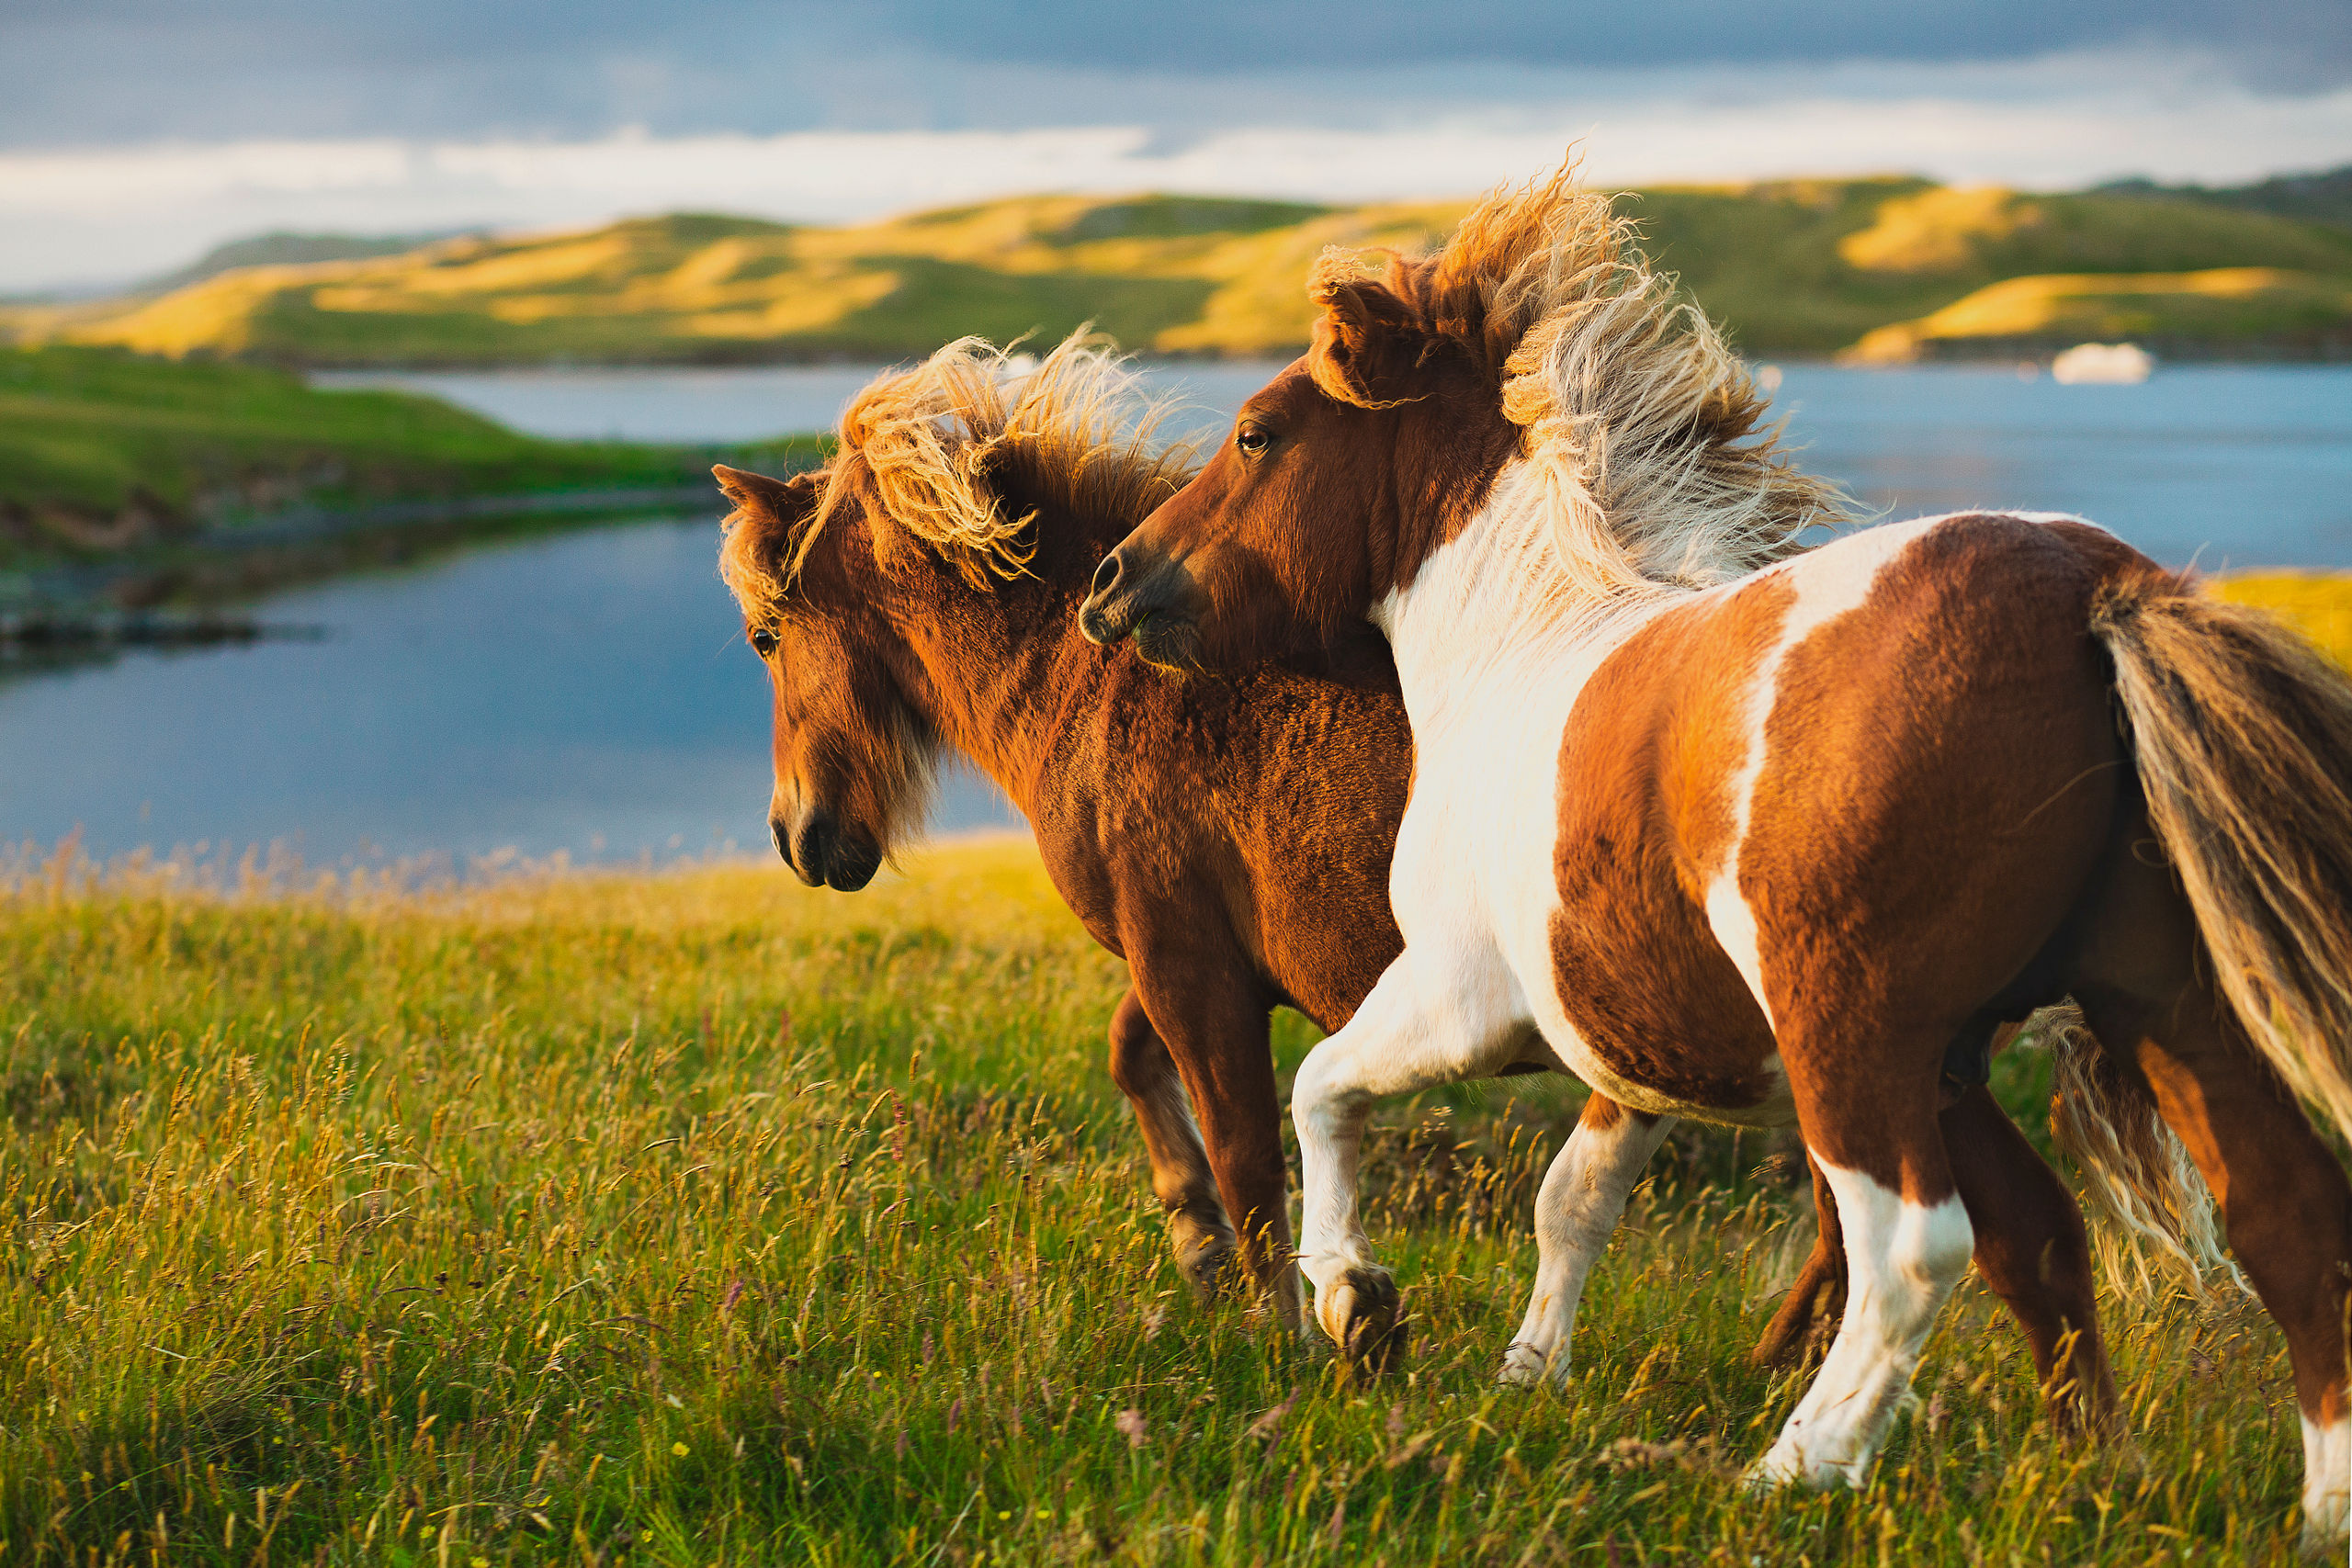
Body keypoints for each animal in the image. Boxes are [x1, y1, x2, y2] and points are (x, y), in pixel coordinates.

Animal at [1077, 169, 2352, 1541]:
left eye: (1257, 433)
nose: (1111, 584)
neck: (1518, 656)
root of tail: (2091, 589)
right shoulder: (1645, 1043)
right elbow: (1572, 1200)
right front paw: (1521, 1375)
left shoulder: (1459, 996)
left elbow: (1322, 1087)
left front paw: (1357, 1304)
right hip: (2143, 1006)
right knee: (2269, 1219)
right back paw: (2260, 1505)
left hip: (1856, 1034)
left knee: (1912, 1247)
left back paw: (1789, 1472)